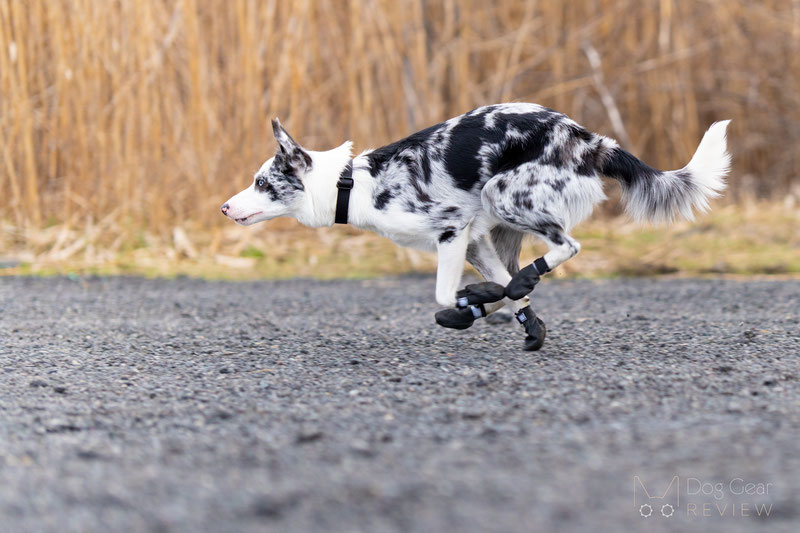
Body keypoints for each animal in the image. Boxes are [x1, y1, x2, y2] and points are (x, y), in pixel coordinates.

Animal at [220, 104, 732, 352]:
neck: (354, 183)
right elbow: (503, 291)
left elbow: (447, 294)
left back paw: (520, 279)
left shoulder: (453, 228)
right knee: (520, 275)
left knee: (567, 246)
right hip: (502, 224)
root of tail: (590, 139)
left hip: (502, 195)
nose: (224, 207)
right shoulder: (474, 242)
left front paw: (471, 304)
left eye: (261, 182)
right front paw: (509, 316)